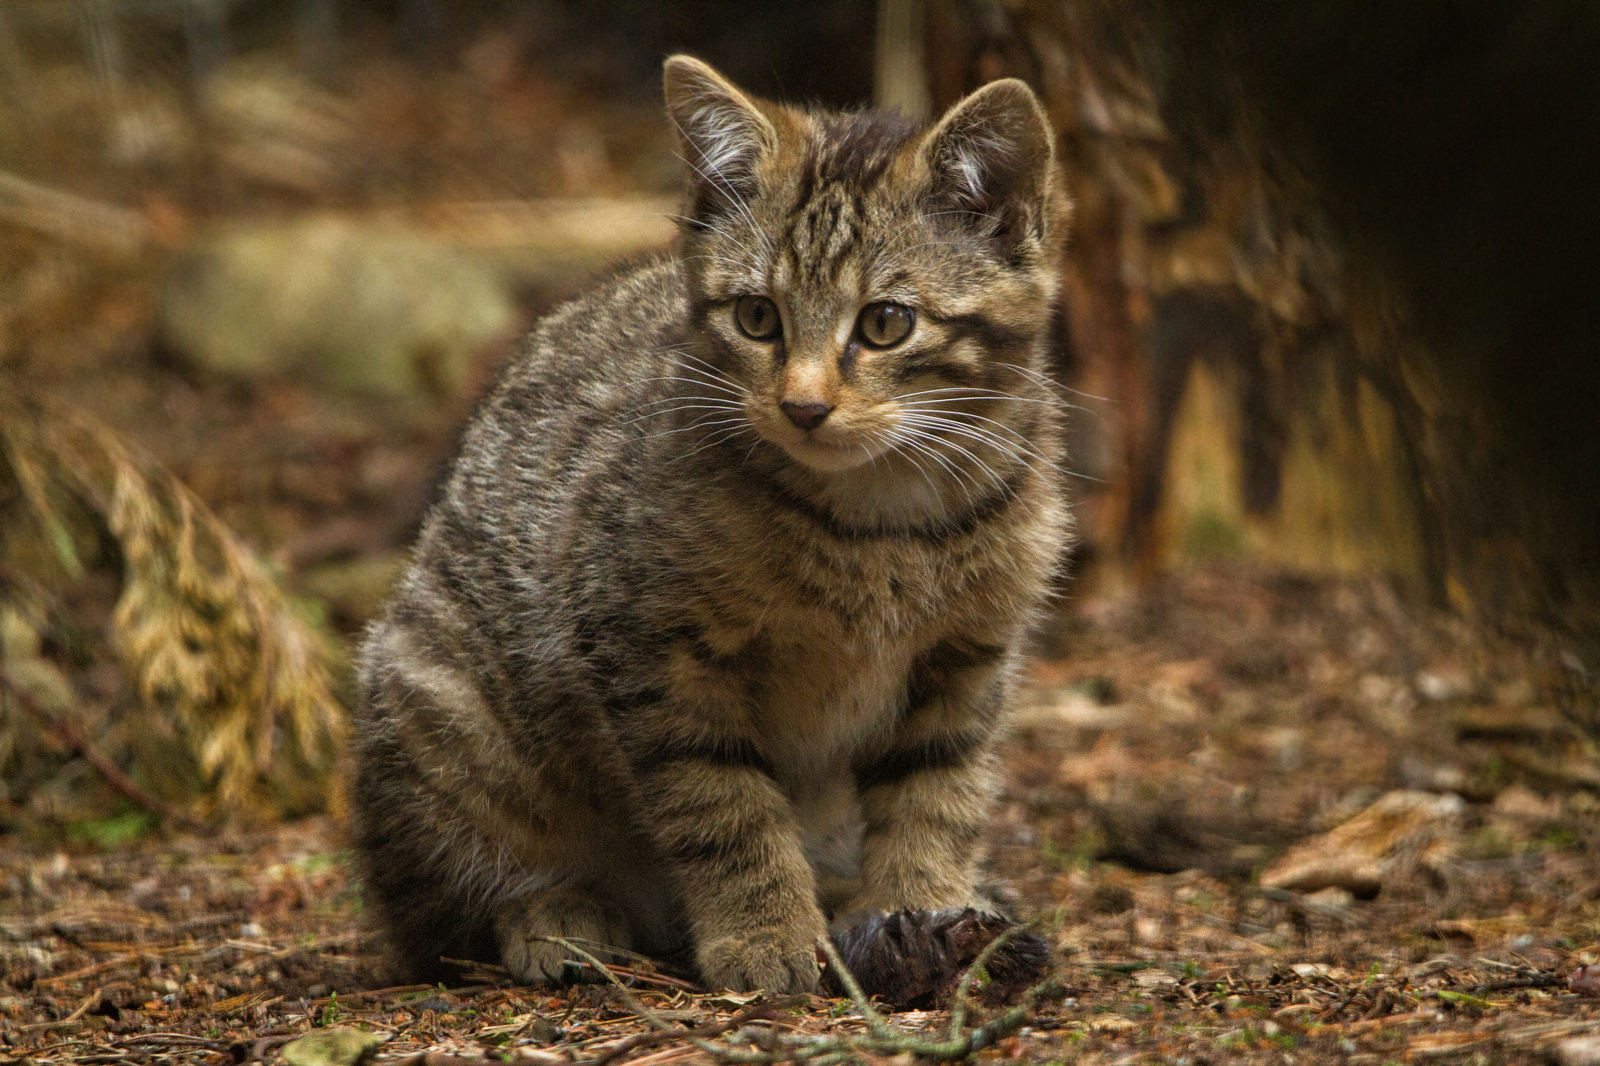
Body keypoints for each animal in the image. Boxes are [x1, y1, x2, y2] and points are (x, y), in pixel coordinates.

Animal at [353, 56, 1075, 985]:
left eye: (886, 322)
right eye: (757, 316)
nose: (803, 406)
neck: (882, 523)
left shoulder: (966, 659)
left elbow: (935, 795)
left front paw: (922, 908)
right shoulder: (652, 650)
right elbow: (722, 806)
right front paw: (762, 935)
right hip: (436, 708)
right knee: (437, 910)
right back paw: (552, 916)